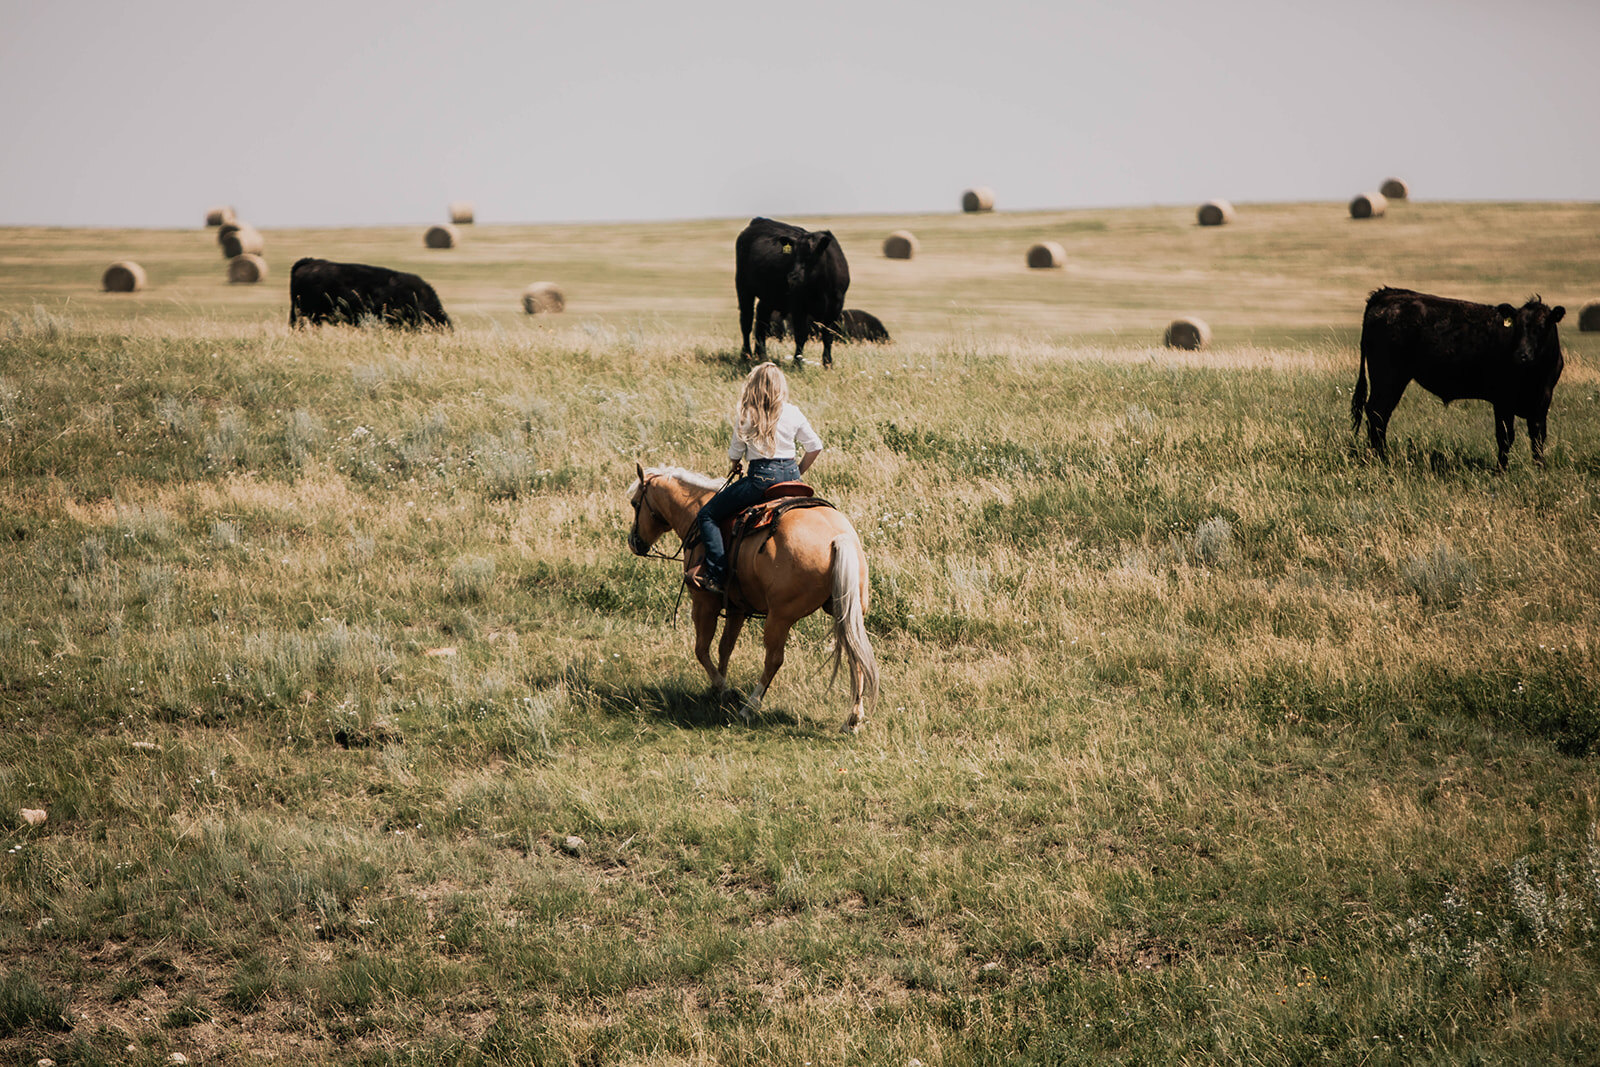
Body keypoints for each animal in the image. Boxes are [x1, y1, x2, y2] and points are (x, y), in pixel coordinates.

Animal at [735, 218, 850, 367]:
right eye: (793, 255)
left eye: (811, 256)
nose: (792, 277)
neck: (821, 287)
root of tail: (760, 220)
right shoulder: (798, 305)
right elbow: (801, 335)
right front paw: (797, 363)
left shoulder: (835, 307)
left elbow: (828, 335)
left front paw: (827, 363)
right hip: (743, 287)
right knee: (746, 321)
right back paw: (746, 355)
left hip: (769, 295)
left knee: (761, 320)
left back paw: (762, 355)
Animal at [1352, 287, 1565, 470]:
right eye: (1517, 328)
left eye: (1541, 327)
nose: (1522, 355)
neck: (1534, 376)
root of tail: (1388, 294)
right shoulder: (1503, 400)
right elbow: (1505, 436)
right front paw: (1501, 470)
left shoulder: (1543, 400)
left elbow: (1538, 436)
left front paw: (1540, 468)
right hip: (1388, 376)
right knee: (1377, 412)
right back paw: (1380, 458)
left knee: (1380, 414)